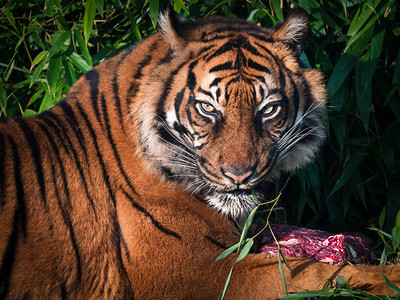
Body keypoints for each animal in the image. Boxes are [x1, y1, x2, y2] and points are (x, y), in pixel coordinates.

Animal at [0, 6, 400, 298]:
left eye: (268, 109)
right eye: (208, 108)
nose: (239, 175)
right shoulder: (196, 273)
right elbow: (318, 273)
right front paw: (390, 277)